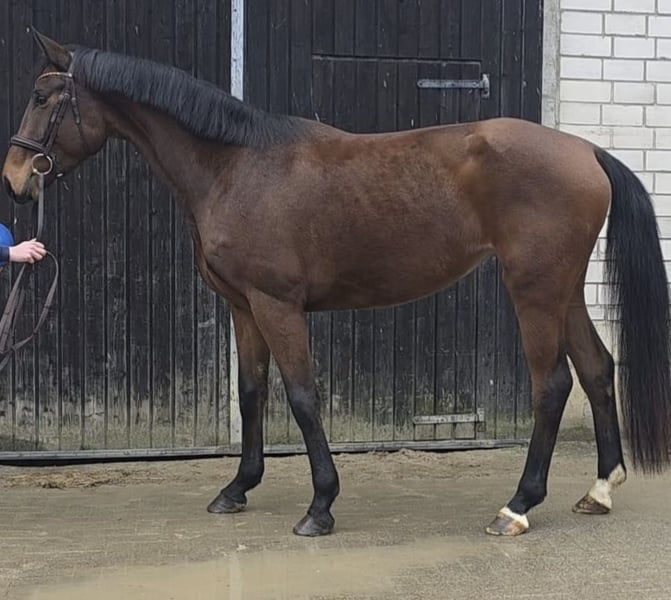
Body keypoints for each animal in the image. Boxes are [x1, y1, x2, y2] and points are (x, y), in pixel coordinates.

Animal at [3, 31, 670, 538]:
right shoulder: (244, 307)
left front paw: (320, 506)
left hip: (534, 289)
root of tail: (586, 150)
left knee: (552, 385)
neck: (236, 166)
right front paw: (237, 488)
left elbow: (302, 397)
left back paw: (518, 505)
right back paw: (599, 489)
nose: (15, 180)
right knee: (597, 366)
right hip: (563, 289)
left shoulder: (278, 305)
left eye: (40, 96)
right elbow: (252, 394)